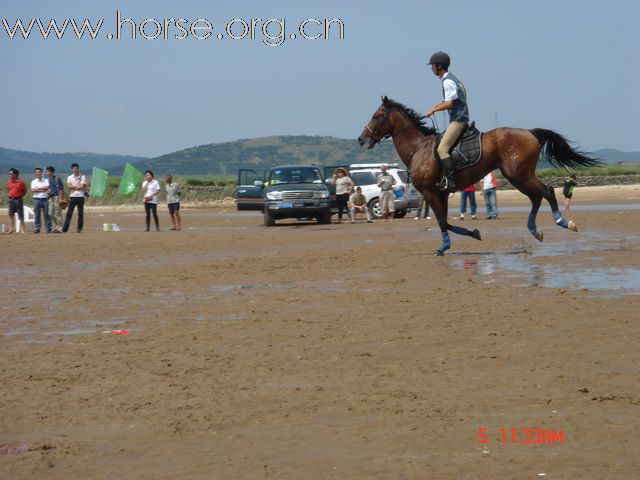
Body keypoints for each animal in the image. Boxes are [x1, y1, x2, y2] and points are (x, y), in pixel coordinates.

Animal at [358, 95, 604, 256]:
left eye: (376, 116)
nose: (361, 139)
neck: (418, 148)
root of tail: (529, 132)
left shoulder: (430, 192)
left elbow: (442, 222)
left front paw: (446, 246)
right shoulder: (441, 193)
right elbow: (444, 221)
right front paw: (470, 235)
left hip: (519, 175)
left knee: (547, 191)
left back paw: (563, 221)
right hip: (518, 176)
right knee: (536, 197)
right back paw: (536, 231)